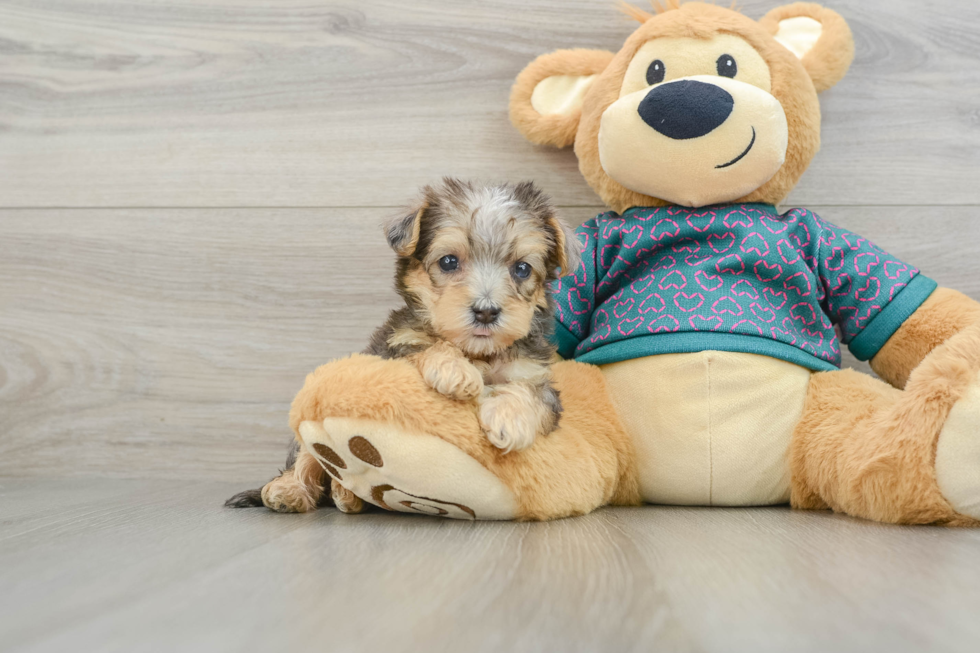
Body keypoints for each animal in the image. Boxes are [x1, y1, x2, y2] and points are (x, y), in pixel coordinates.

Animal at [228, 180, 580, 516]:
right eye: (449, 262)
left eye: (521, 269)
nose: (486, 311)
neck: (477, 352)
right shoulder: (392, 349)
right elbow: (424, 346)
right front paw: (455, 371)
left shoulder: (534, 374)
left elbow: (531, 393)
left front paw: (509, 419)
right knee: (308, 458)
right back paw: (290, 491)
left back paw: (347, 495)